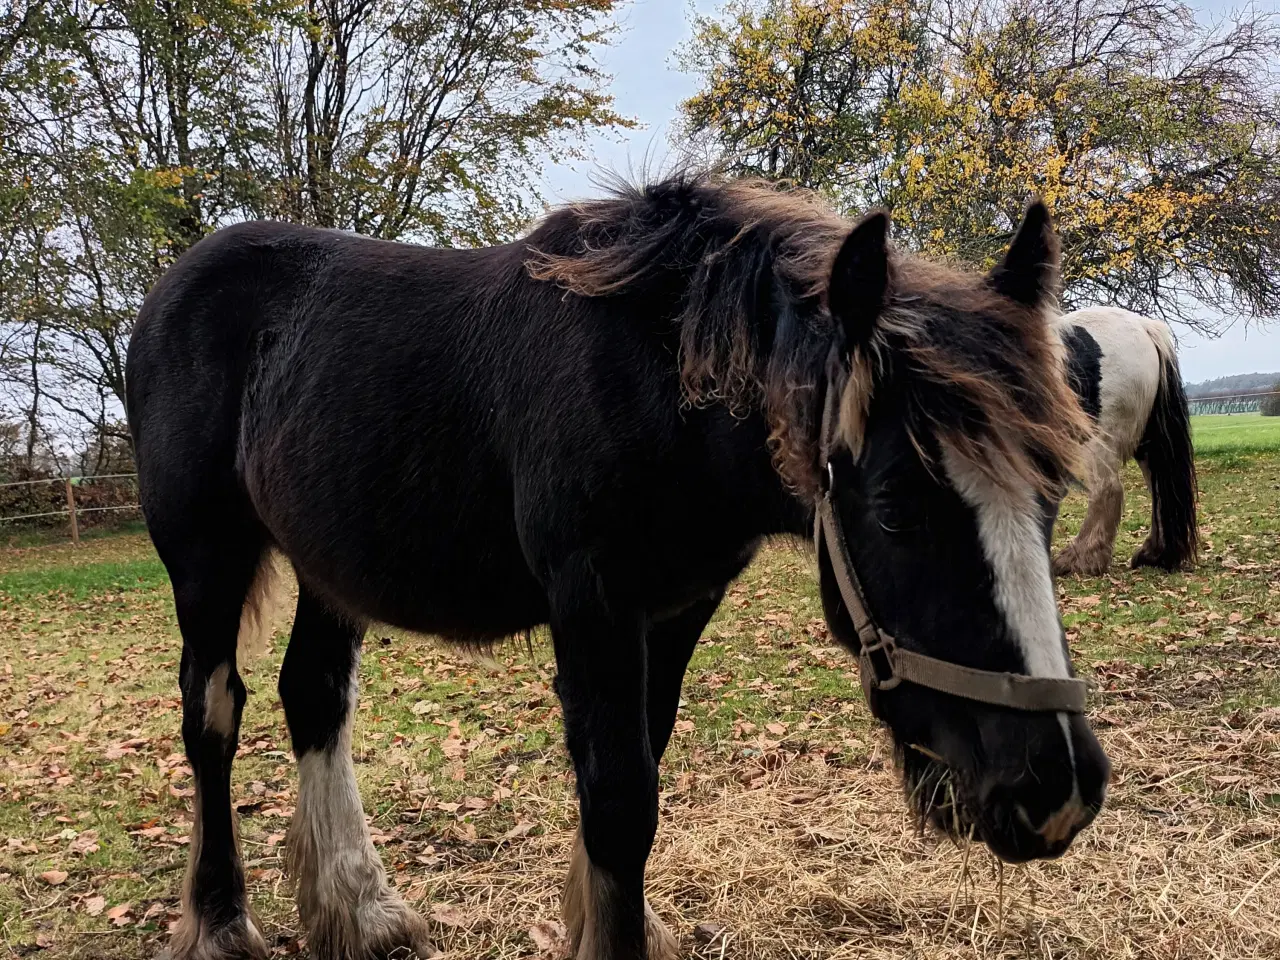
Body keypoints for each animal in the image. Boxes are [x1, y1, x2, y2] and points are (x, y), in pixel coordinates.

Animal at [127, 175, 1111, 960]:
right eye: (899, 510)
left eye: (1053, 496)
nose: (1054, 788)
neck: (659, 384)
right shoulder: (592, 602)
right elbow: (619, 799)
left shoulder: (676, 607)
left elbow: (642, 763)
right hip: (206, 560)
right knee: (212, 714)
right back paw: (219, 922)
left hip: (332, 566)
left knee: (314, 695)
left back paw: (360, 913)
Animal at [1049, 308, 1198, 578]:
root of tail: (1144, 326)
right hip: (1148, 446)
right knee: (1157, 490)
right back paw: (1155, 554)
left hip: (1093, 442)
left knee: (1107, 490)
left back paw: (1079, 559)